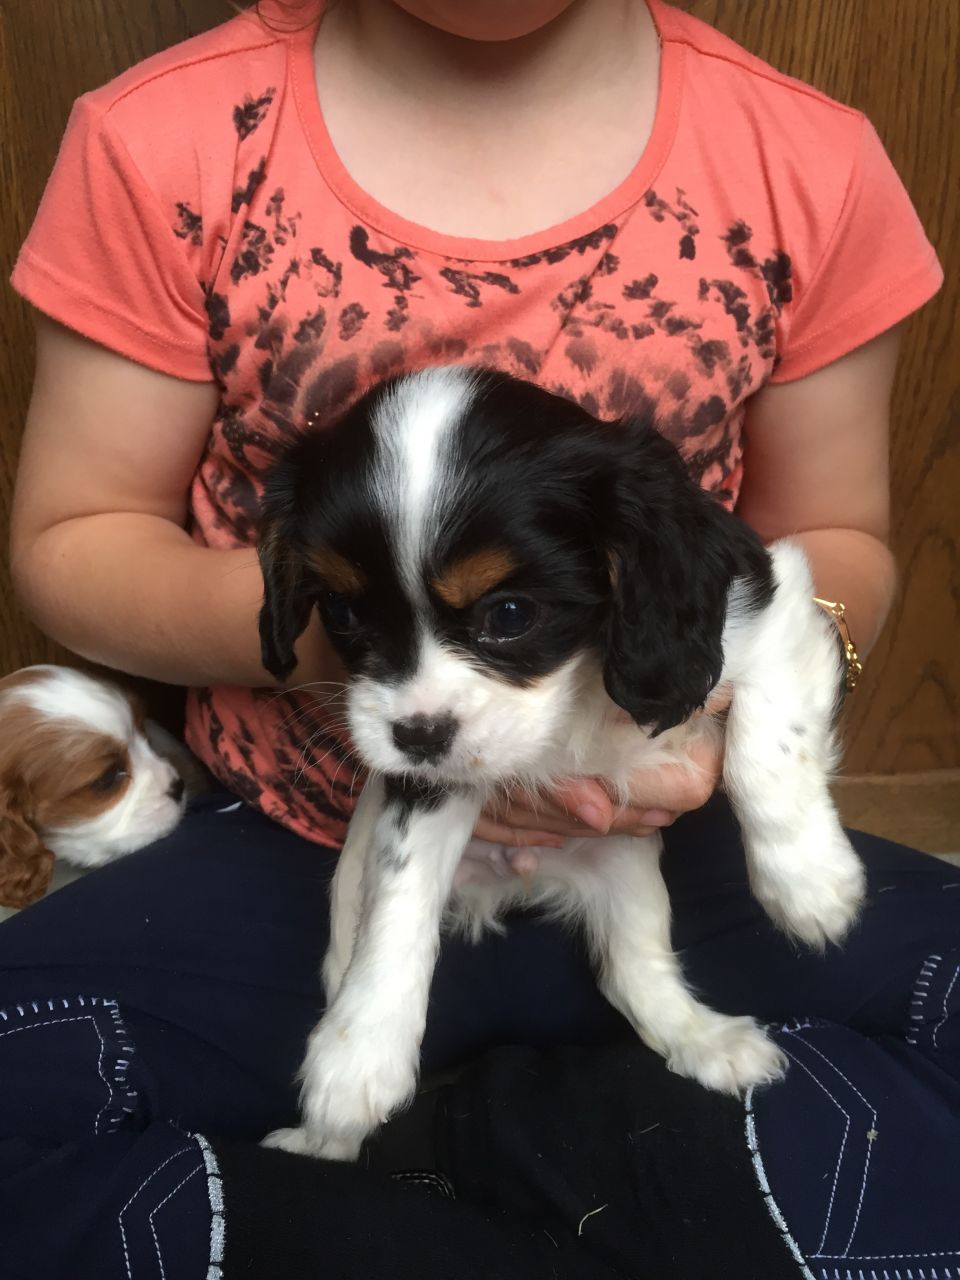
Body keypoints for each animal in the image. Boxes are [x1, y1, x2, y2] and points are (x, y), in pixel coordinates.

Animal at [253, 368, 865, 1162]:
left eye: (511, 614)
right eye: (342, 613)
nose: (416, 736)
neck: (575, 683)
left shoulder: (772, 613)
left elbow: (768, 747)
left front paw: (808, 884)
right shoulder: (426, 778)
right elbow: (401, 894)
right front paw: (359, 1057)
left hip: (627, 868)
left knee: (634, 969)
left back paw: (705, 1041)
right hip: (348, 899)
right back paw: (324, 1143)